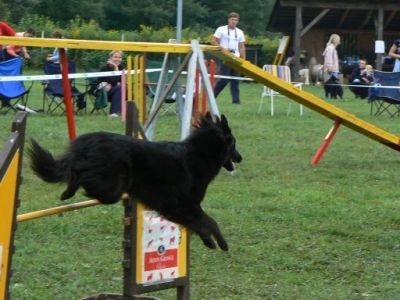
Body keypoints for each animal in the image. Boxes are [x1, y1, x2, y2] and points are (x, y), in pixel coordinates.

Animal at [29, 112, 242, 251]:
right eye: (234, 143)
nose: (241, 158)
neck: (198, 155)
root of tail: (88, 140)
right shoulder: (184, 205)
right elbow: (210, 221)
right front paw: (219, 243)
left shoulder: (174, 209)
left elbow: (200, 223)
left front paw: (209, 241)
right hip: (111, 188)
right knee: (80, 174)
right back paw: (71, 190)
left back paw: (67, 193)